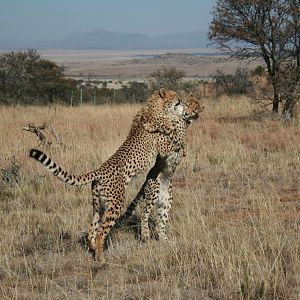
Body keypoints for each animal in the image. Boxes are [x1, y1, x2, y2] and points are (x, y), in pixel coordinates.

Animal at [29, 88, 190, 262]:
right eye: (175, 96)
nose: (180, 99)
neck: (158, 107)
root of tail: (99, 171)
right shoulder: (163, 147)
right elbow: (172, 135)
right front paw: (176, 133)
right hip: (116, 205)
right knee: (101, 232)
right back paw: (101, 258)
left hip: (98, 205)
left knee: (91, 230)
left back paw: (93, 249)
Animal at [119, 96, 204, 241]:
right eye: (188, 104)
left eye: (195, 109)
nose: (187, 113)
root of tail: (147, 180)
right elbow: (164, 125)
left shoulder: (172, 139)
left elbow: (169, 131)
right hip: (155, 194)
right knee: (146, 214)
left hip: (165, 202)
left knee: (156, 220)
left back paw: (160, 238)